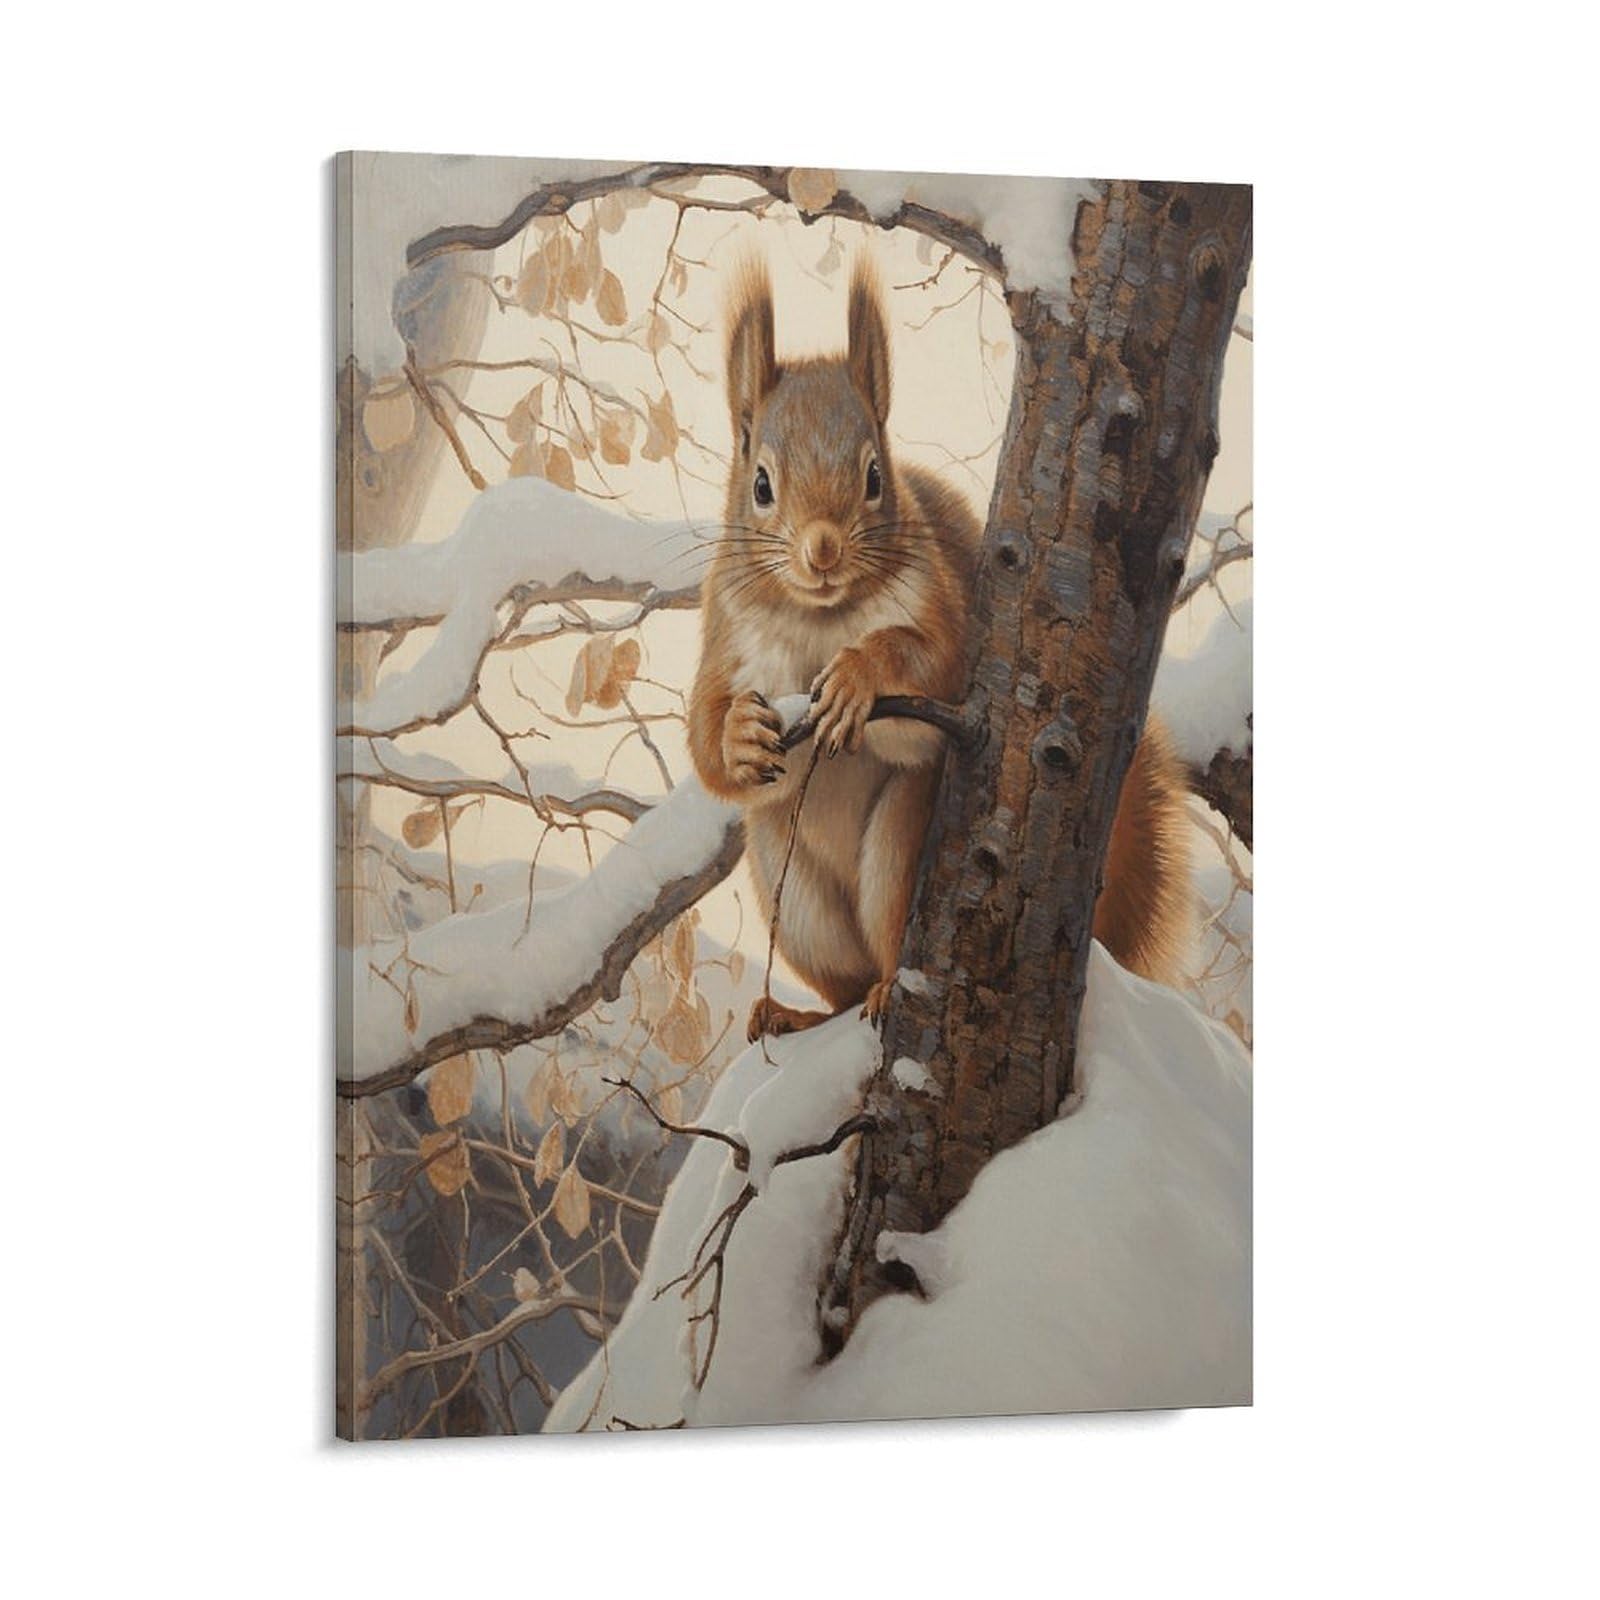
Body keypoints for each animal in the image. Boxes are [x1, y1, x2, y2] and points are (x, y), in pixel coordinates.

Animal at [688, 257, 1191, 1043]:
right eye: (761, 484)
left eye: (874, 476)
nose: (822, 550)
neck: (821, 615)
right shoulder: (725, 633)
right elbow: (704, 732)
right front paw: (739, 733)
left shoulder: (945, 616)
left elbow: (934, 669)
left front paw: (859, 677)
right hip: (787, 883)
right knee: (837, 983)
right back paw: (796, 1014)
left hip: (902, 844)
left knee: (885, 950)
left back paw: (885, 988)